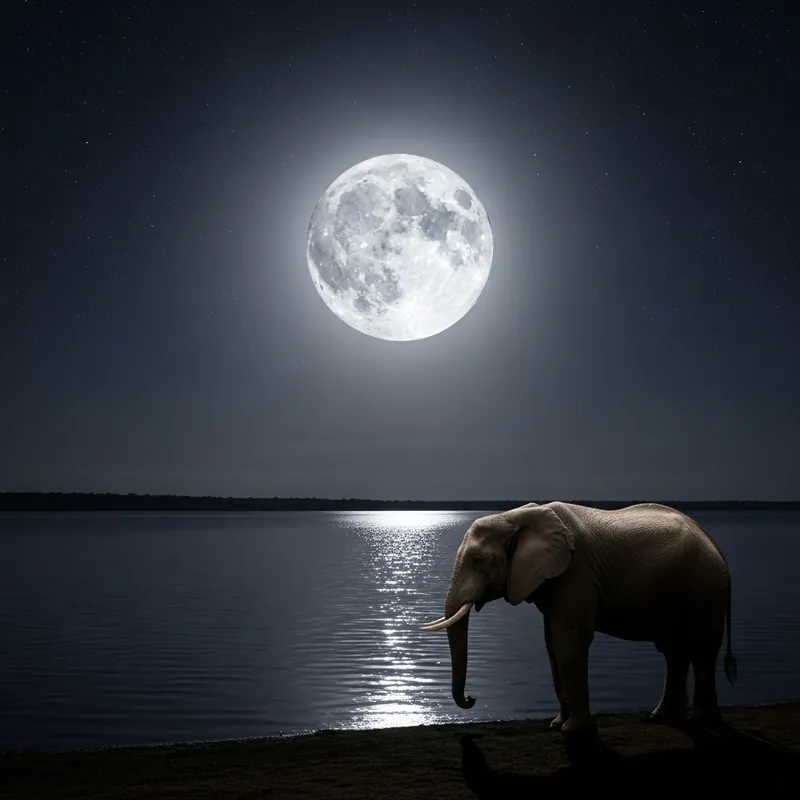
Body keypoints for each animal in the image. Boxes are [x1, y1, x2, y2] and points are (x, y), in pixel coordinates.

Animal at [421, 502, 737, 734]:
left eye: (478, 561)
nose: (472, 699)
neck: (514, 517)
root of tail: (716, 545)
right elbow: (551, 642)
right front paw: (557, 725)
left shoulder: (576, 573)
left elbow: (568, 639)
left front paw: (573, 731)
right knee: (675, 652)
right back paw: (662, 719)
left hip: (704, 587)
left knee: (701, 651)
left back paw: (701, 723)